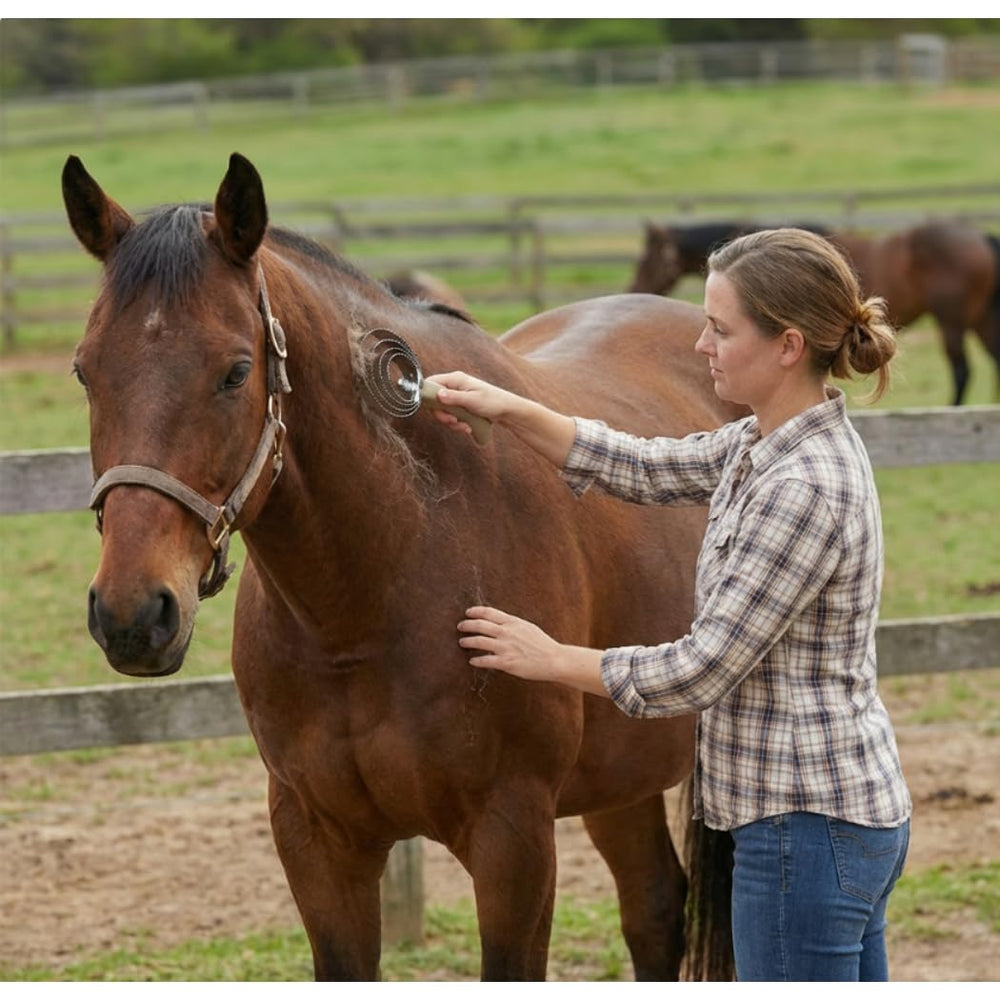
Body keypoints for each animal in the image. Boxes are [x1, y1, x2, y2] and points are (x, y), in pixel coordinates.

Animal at [62, 152, 744, 982]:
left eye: (234, 372)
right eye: (85, 371)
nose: (132, 613)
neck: (372, 598)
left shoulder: (515, 841)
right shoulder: (317, 841)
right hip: (622, 777)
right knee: (653, 909)